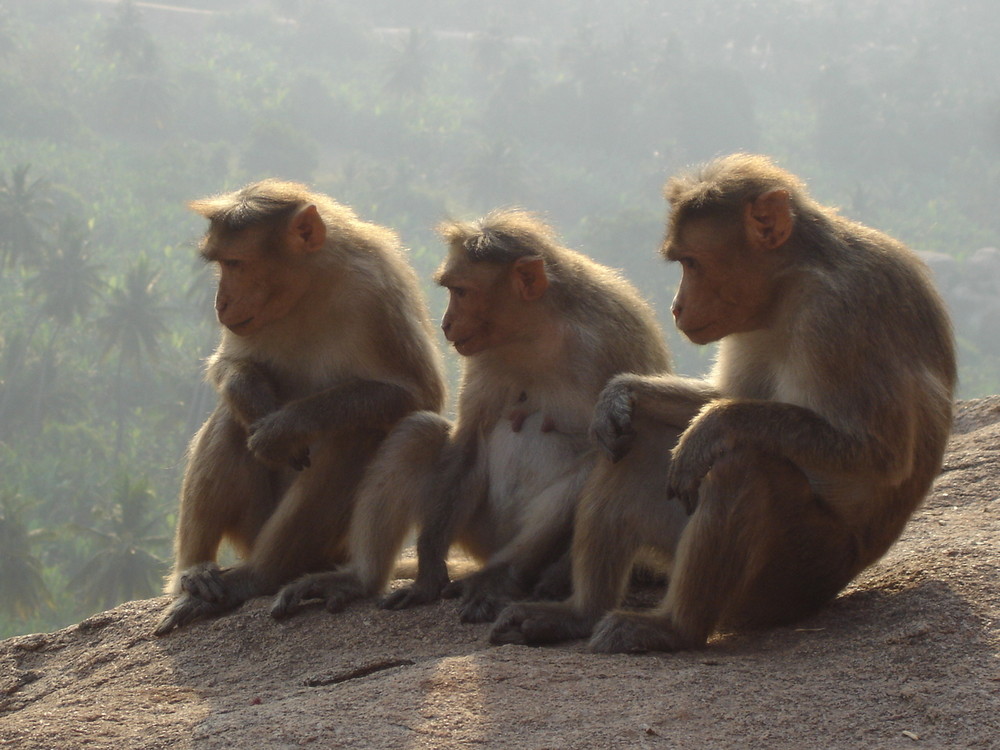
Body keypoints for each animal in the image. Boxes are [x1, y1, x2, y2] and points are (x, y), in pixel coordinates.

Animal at [153, 179, 446, 636]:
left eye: (235, 263)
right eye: (220, 263)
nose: (221, 303)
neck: (309, 288)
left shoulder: (375, 291)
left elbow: (419, 394)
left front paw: (285, 426)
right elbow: (228, 367)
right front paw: (253, 398)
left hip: (330, 546)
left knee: (358, 432)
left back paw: (261, 576)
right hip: (252, 527)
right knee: (230, 419)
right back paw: (195, 573)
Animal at [272, 209, 672, 624]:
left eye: (461, 291)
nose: (446, 323)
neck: (539, 330)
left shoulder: (614, 339)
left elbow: (619, 437)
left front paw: (548, 581)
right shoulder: (483, 352)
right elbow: (469, 442)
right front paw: (429, 571)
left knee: (593, 463)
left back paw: (503, 577)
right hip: (480, 532)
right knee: (419, 432)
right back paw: (360, 579)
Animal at [488, 156, 956, 656]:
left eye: (691, 262)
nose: (676, 307)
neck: (791, 283)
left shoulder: (841, 316)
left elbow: (882, 454)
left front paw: (714, 426)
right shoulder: (751, 322)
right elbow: (723, 395)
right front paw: (622, 393)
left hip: (791, 578)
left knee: (741, 465)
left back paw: (674, 628)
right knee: (636, 444)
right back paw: (579, 613)